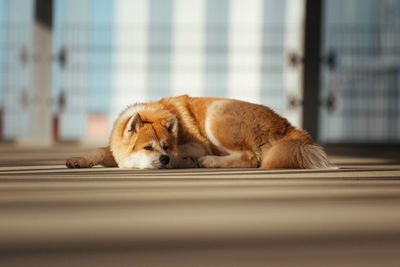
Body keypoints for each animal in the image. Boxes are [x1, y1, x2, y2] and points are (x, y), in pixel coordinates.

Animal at [66, 94, 334, 170]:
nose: (164, 159)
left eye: (166, 146)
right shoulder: (114, 151)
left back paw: (209, 161)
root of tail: (287, 125)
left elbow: (185, 152)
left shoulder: (196, 143)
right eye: (147, 147)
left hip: (216, 114)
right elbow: (99, 151)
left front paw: (185, 160)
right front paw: (78, 160)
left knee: (251, 158)